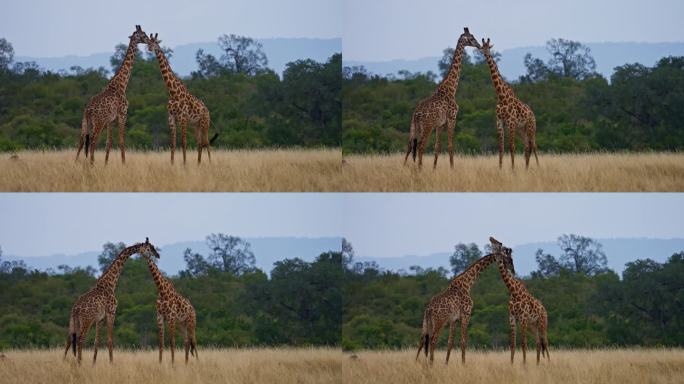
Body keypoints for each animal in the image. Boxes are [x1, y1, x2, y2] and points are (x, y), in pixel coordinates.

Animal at [75, 25, 149, 164]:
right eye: (143, 35)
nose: (149, 41)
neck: (121, 84)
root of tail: (88, 110)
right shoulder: (122, 114)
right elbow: (121, 141)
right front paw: (124, 164)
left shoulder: (110, 121)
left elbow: (108, 143)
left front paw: (106, 165)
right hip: (98, 122)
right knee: (92, 142)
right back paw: (91, 164)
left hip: (85, 122)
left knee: (81, 141)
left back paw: (76, 163)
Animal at [146, 32, 218, 164]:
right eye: (148, 42)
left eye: (156, 42)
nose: (150, 48)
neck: (173, 93)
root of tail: (207, 110)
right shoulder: (171, 118)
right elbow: (173, 144)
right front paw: (172, 164)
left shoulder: (183, 118)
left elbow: (184, 142)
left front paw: (184, 164)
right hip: (196, 125)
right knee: (200, 143)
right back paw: (198, 164)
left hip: (205, 124)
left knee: (206, 142)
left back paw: (210, 163)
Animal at [400, 27, 480, 169]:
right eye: (471, 37)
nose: (479, 45)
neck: (451, 88)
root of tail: (416, 114)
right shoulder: (452, 118)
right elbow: (450, 145)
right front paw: (452, 169)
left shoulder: (440, 124)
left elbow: (437, 147)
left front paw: (434, 169)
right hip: (427, 126)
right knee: (420, 146)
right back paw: (419, 169)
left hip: (413, 126)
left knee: (410, 146)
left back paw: (405, 167)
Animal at [480, 38, 540, 169]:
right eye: (482, 48)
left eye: (489, 48)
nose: (486, 55)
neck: (501, 97)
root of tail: (533, 114)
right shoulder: (499, 122)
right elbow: (501, 148)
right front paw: (500, 169)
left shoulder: (511, 122)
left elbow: (512, 147)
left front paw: (513, 169)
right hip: (521, 129)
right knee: (527, 146)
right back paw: (526, 168)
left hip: (531, 127)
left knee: (534, 146)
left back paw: (538, 167)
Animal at [488, 236, 548, 364]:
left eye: (498, 243)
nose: (491, 237)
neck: (514, 293)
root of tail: (544, 310)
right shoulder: (512, 318)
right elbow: (513, 344)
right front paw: (511, 364)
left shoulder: (523, 318)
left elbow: (523, 343)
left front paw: (524, 364)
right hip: (532, 325)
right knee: (538, 342)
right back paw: (537, 364)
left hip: (542, 322)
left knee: (545, 342)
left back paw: (548, 362)